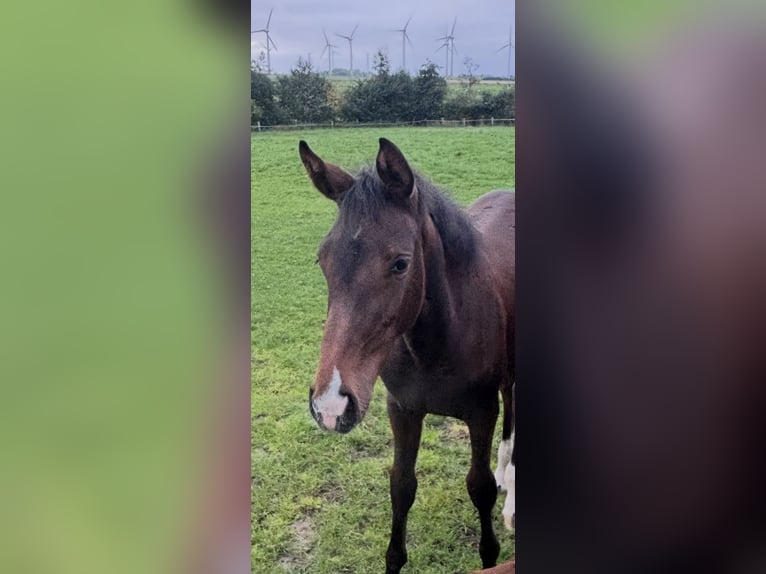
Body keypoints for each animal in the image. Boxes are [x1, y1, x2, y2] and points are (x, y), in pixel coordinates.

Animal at [298, 137, 515, 573]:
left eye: (401, 263)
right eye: (322, 259)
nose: (330, 405)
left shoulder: (482, 412)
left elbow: (479, 487)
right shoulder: (402, 408)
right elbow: (401, 485)